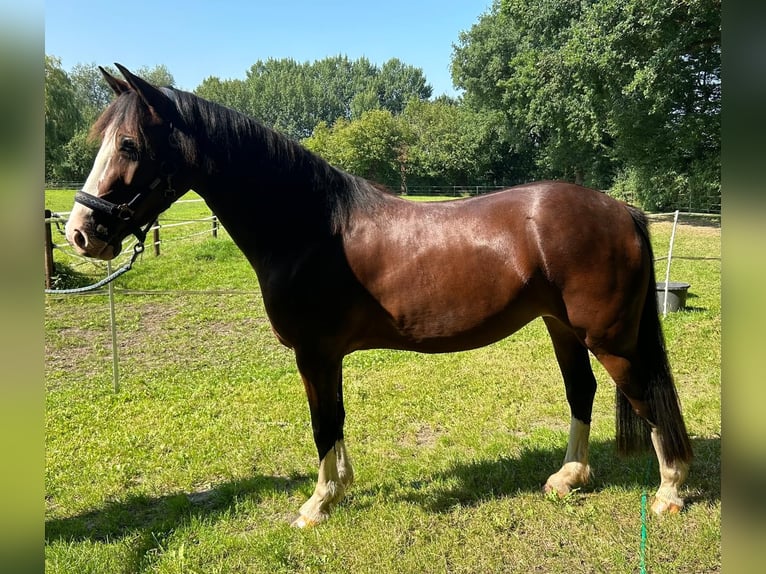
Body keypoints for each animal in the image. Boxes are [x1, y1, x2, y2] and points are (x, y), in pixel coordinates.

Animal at [66, 65, 696, 528]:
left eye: (129, 144)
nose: (80, 232)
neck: (310, 227)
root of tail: (620, 208)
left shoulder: (313, 353)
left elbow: (323, 422)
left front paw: (317, 505)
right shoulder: (327, 356)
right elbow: (336, 419)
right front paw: (339, 489)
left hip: (609, 337)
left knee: (646, 394)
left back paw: (669, 493)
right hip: (561, 327)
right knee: (581, 391)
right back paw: (568, 479)